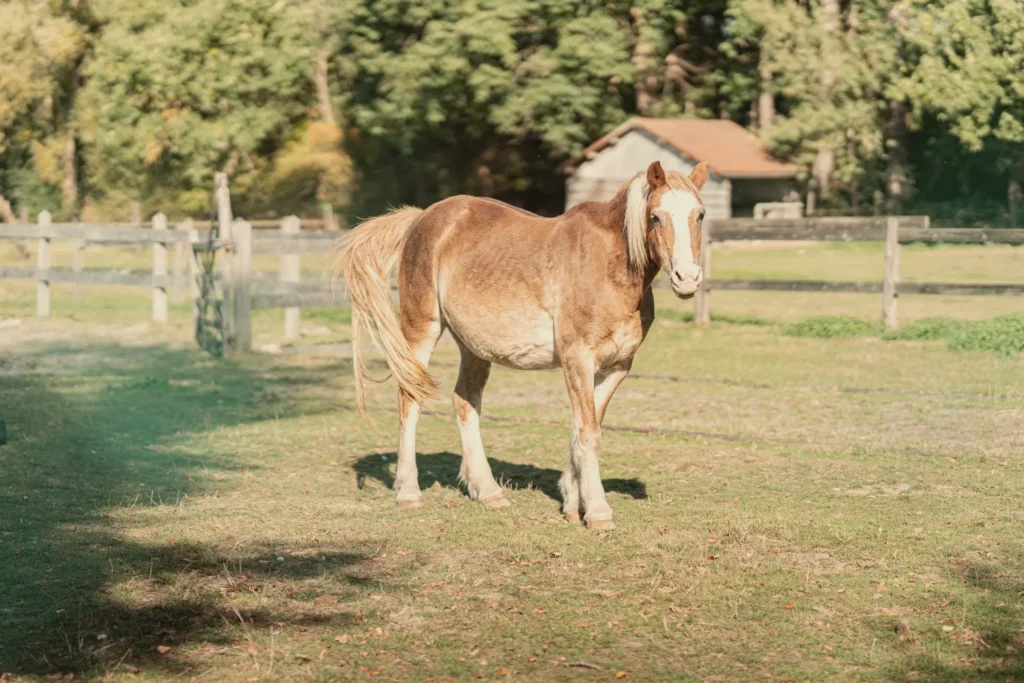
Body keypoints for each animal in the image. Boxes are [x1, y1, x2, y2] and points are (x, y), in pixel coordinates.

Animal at [334, 160, 707, 529]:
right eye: (656, 216)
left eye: (700, 214)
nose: (687, 279)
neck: (608, 267)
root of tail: (422, 217)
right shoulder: (578, 360)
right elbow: (587, 431)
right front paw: (598, 511)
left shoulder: (617, 367)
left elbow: (584, 427)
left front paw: (572, 502)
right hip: (421, 330)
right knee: (409, 400)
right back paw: (409, 492)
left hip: (473, 348)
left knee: (465, 402)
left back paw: (488, 492)